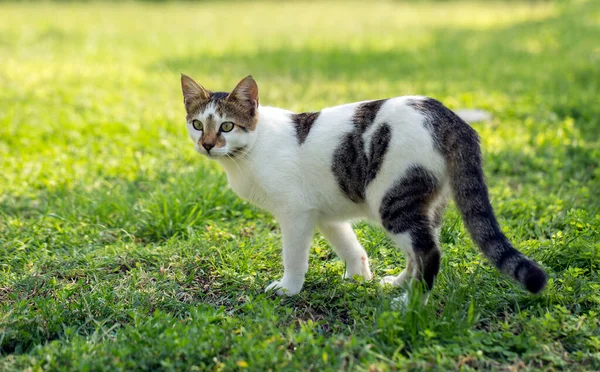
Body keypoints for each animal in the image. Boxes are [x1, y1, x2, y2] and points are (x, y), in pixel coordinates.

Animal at [180, 75, 548, 300]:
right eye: (197, 124)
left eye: (227, 126)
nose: (208, 145)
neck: (249, 151)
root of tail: (447, 115)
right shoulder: (321, 212)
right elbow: (349, 244)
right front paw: (359, 276)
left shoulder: (295, 212)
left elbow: (294, 256)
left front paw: (289, 288)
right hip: (423, 202)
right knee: (419, 249)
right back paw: (399, 284)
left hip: (393, 198)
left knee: (429, 252)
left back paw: (411, 304)